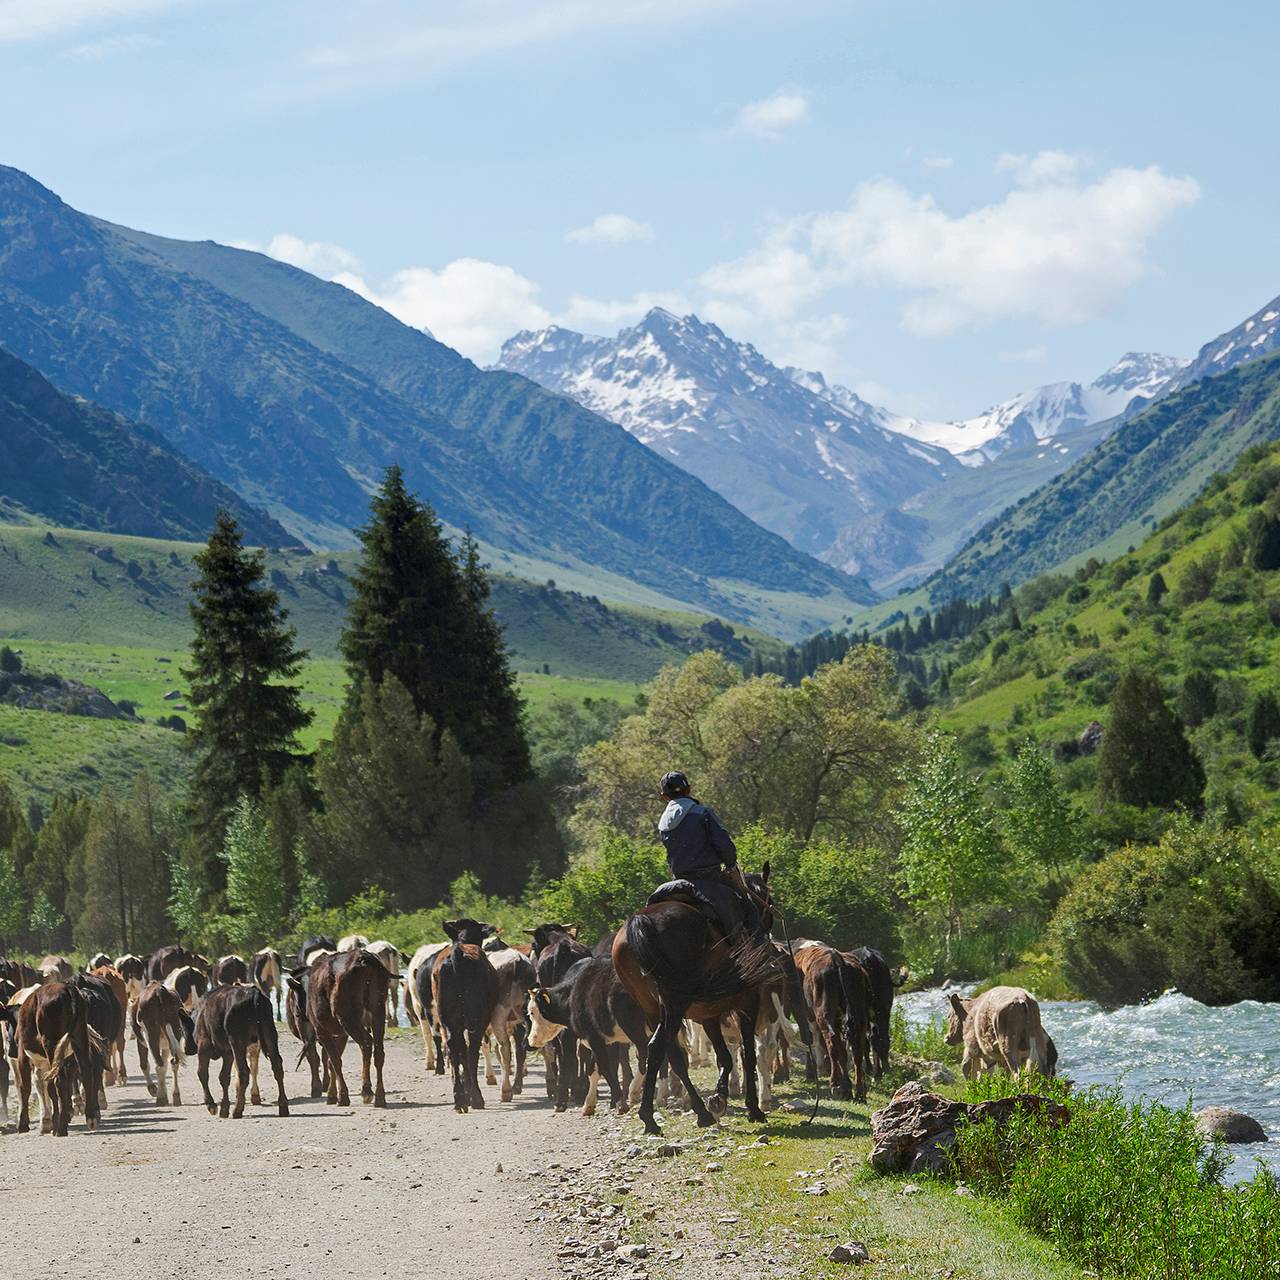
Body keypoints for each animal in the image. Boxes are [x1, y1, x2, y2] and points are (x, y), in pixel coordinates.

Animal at [288, 952, 386, 1111]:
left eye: (296, 992)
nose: (299, 1014)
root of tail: (363, 959)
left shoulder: (323, 1032)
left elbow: (334, 1061)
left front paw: (342, 1096)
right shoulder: (340, 1034)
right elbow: (330, 1061)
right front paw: (332, 1094)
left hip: (348, 1019)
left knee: (366, 1042)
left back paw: (366, 1090)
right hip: (378, 1012)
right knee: (379, 1052)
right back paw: (380, 1096)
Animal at [432, 921, 496, 1111]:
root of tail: (458, 955)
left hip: (447, 1017)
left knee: (454, 1046)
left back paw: (459, 1098)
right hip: (476, 1016)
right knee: (472, 1049)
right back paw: (476, 1097)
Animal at [611, 865, 778, 1136]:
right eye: (767, 899)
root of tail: (641, 921)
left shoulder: (707, 1014)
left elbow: (724, 1056)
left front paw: (719, 1098)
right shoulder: (748, 1002)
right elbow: (747, 1054)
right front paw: (753, 1108)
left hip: (653, 1008)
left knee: (671, 1055)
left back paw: (699, 1113)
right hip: (674, 1004)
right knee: (659, 1047)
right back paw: (651, 1117)